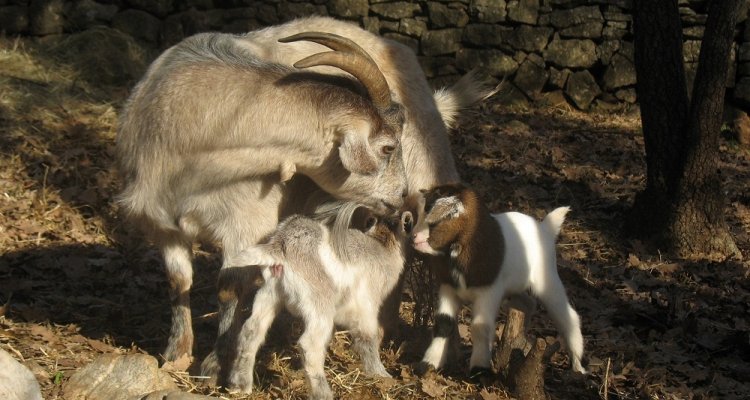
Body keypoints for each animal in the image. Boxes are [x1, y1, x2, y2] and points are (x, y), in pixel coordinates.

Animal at [412, 184, 588, 376]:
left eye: (434, 221)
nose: (413, 236)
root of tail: (545, 229)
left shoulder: (488, 291)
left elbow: (480, 327)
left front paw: (479, 368)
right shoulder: (448, 287)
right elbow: (443, 323)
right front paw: (428, 363)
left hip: (547, 279)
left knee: (567, 315)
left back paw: (578, 366)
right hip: (516, 288)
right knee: (528, 304)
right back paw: (522, 336)